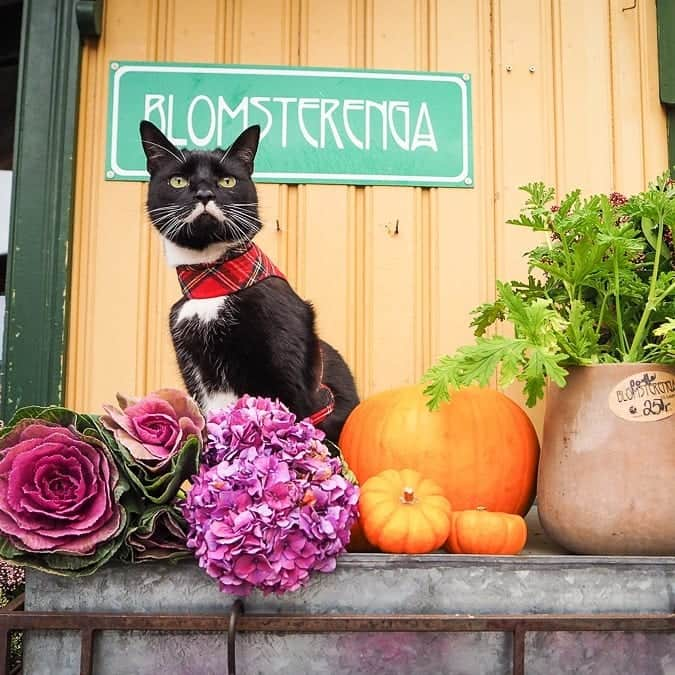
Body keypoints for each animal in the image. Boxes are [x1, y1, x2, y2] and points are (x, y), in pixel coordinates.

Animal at [137, 120, 360, 444]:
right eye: (177, 181)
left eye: (228, 181)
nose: (204, 193)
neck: (213, 282)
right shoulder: (197, 375)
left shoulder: (285, 371)